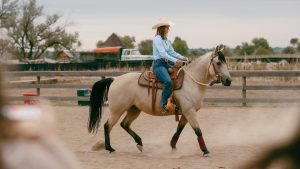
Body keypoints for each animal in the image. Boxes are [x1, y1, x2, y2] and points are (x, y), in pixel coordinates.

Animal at [87, 44, 232, 156]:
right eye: (218, 62)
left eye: (226, 62)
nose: (228, 80)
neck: (191, 82)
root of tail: (114, 79)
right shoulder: (189, 112)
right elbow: (198, 131)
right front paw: (205, 151)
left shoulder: (186, 113)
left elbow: (179, 130)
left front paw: (173, 146)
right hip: (117, 110)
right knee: (108, 125)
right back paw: (110, 148)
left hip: (134, 109)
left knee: (125, 124)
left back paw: (139, 143)